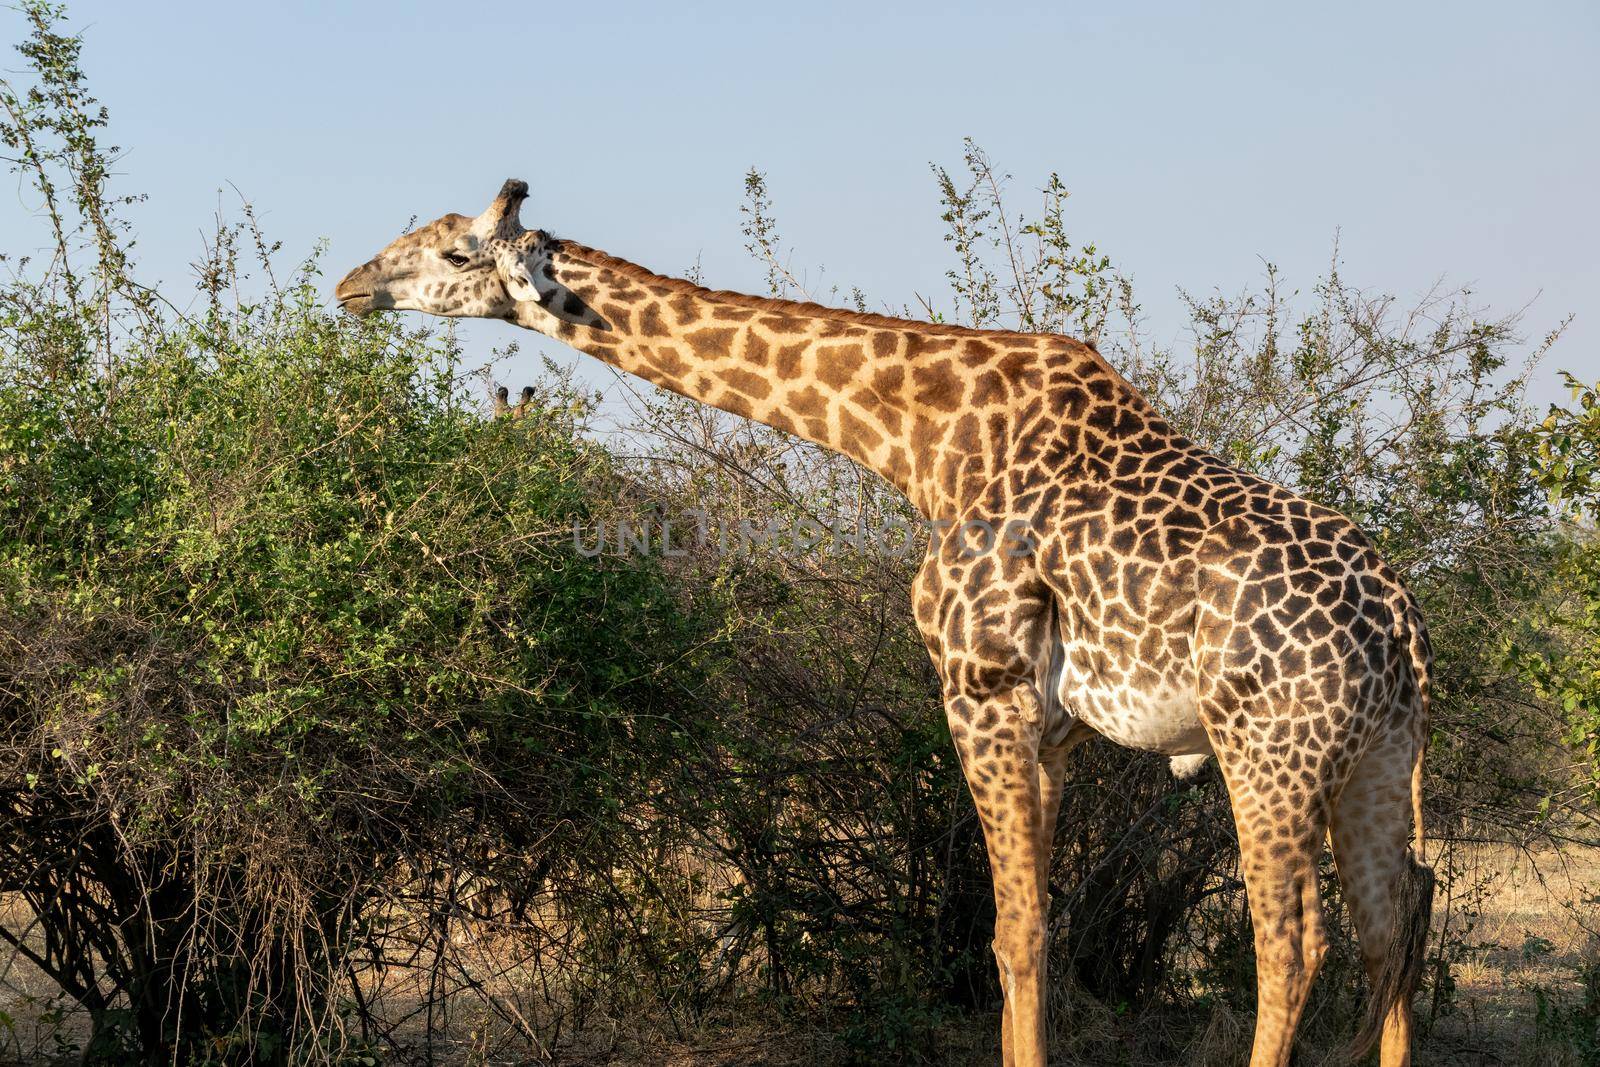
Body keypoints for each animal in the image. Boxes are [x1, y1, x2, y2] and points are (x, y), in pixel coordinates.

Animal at [337, 179, 1440, 1062]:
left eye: (452, 252)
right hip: (1380, 754)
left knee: (1293, 937)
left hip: (1269, 748)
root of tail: (1400, 627)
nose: (349, 285)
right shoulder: (1053, 726)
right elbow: (1031, 926)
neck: (924, 439)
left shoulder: (980, 688)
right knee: (1398, 916)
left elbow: (1014, 931)